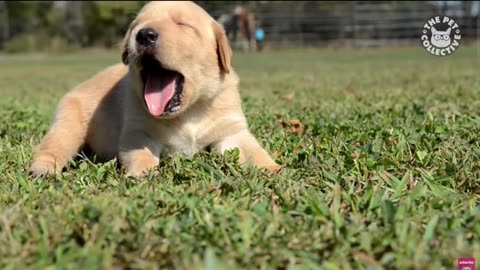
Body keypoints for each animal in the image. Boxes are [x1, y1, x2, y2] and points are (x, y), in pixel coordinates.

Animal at [29, 1, 282, 178]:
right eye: (136, 26)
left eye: (183, 25)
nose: (144, 34)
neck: (190, 112)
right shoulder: (138, 132)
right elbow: (141, 154)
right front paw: (142, 173)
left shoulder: (232, 131)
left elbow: (254, 151)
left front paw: (273, 169)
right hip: (69, 126)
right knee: (52, 147)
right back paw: (41, 169)